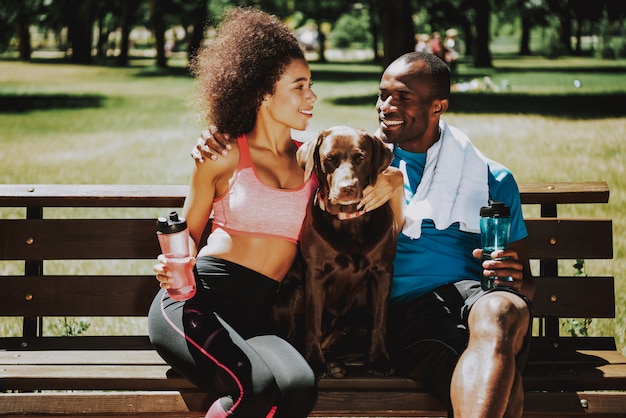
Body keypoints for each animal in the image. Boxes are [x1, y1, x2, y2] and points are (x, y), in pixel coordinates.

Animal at [294, 125, 394, 378]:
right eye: (330, 159)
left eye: (361, 157)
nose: (346, 189)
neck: (350, 221)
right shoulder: (315, 274)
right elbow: (313, 324)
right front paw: (314, 362)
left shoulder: (383, 272)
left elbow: (380, 322)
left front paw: (379, 360)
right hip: (298, 292)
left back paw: (336, 363)